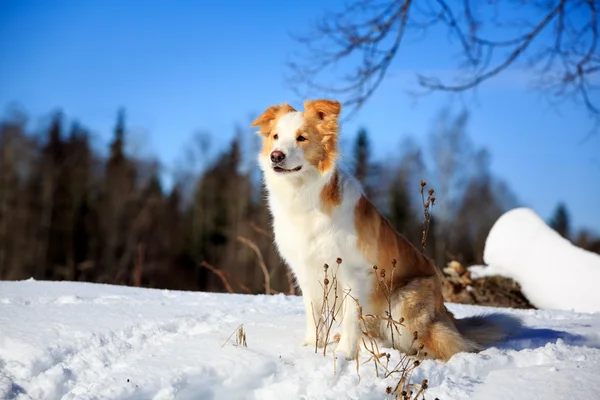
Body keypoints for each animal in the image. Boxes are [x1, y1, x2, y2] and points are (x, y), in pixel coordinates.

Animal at [251, 99, 516, 360]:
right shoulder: (306, 270)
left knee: (448, 345)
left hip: (404, 304)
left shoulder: (354, 273)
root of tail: (447, 312)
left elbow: (350, 319)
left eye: (301, 138)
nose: (276, 156)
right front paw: (310, 348)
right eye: (275, 136)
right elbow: (313, 314)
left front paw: (343, 355)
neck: (303, 195)